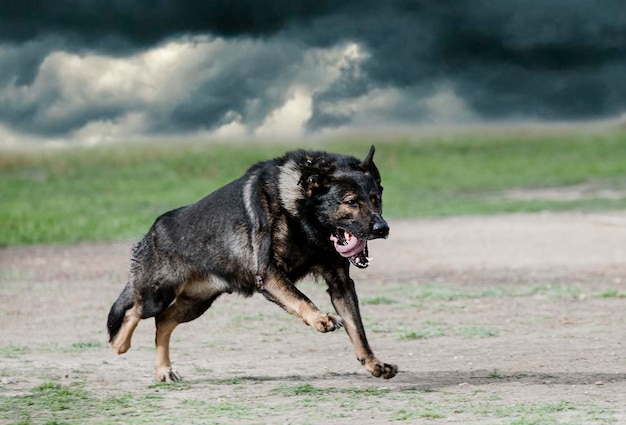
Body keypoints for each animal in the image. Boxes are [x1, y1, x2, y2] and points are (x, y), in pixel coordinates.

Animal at [106, 146, 394, 380]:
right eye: (351, 202)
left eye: (376, 199)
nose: (382, 229)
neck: (301, 212)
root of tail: (153, 231)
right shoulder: (269, 275)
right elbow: (301, 298)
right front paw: (320, 318)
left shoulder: (340, 283)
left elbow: (357, 329)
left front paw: (373, 363)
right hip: (158, 295)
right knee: (134, 312)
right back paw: (119, 346)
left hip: (195, 304)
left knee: (163, 322)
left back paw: (164, 370)